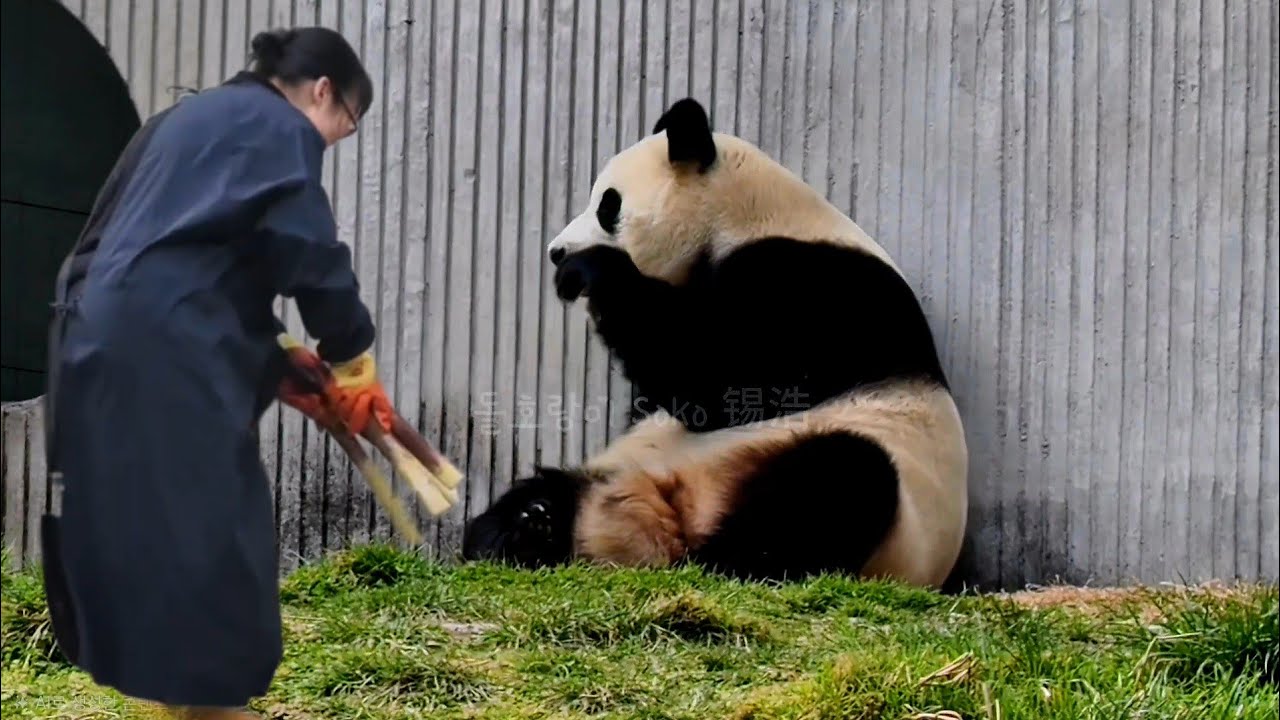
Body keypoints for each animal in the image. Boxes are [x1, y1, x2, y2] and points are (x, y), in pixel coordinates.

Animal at [461, 97, 969, 588]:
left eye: (608, 206)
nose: (556, 251)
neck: (747, 215)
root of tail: (664, 522)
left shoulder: (821, 292)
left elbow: (717, 383)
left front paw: (589, 270)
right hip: (621, 468)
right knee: (551, 489)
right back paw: (524, 528)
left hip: (885, 512)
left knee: (838, 480)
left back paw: (722, 559)